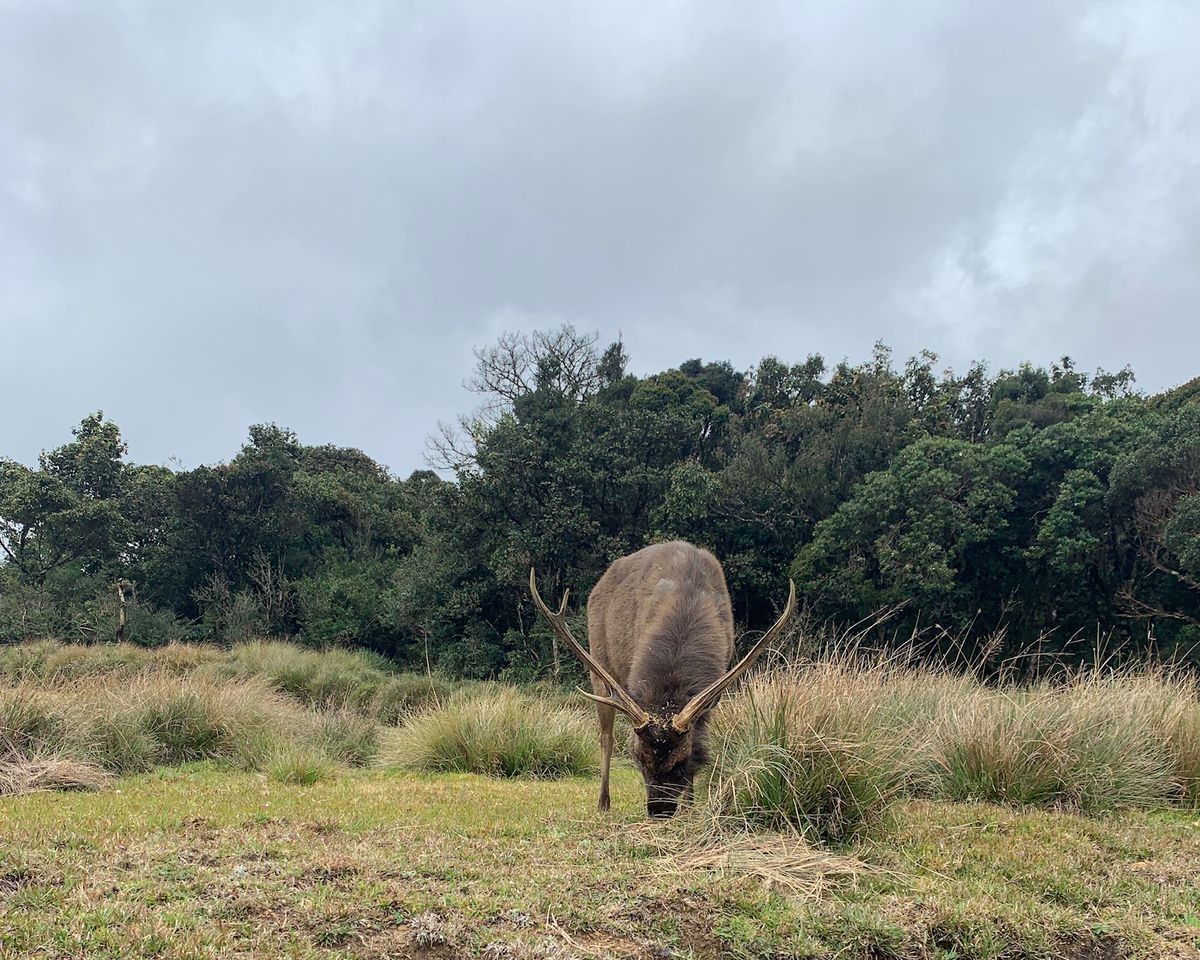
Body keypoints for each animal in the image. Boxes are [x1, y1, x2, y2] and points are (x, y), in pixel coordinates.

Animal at [530, 540, 792, 816]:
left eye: (681, 763)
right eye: (639, 759)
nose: (659, 811)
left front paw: (689, 806)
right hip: (599, 662)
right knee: (606, 736)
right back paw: (603, 802)